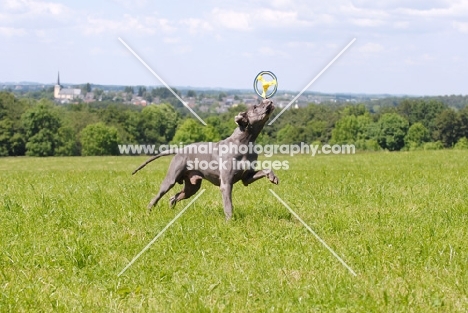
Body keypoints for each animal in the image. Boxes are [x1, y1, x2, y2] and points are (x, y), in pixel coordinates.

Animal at [132, 98, 278, 218]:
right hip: (170, 180)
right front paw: (229, 222)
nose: (268, 100)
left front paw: (273, 177)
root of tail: (180, 150)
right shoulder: (226, 184)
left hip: (192, 187)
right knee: (157, 197)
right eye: (255, 106)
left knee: (174, 197)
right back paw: (148, 212)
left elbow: (265, 170)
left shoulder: (246, 178)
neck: (245, 142)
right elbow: (228, 205)